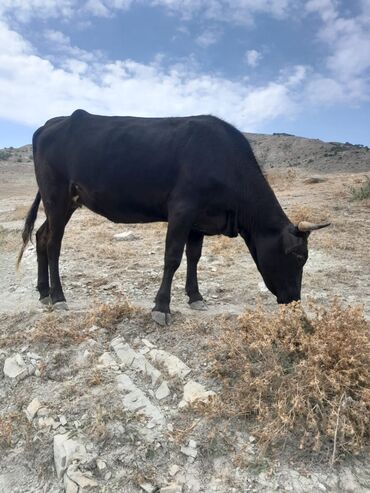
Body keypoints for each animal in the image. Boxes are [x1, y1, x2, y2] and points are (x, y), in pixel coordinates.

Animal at [17, 110, 330, 324]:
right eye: (297, 256)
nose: (294, 301)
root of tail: (50, 123)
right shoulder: (182, 210)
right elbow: (173, 258)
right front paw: (161, 307)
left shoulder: (201, 220)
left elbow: (194, 257)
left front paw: (196, 297)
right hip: (56, 196)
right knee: (53, 243)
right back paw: (58, 297)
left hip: (66, 202)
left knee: (41, 237)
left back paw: (43, 292)